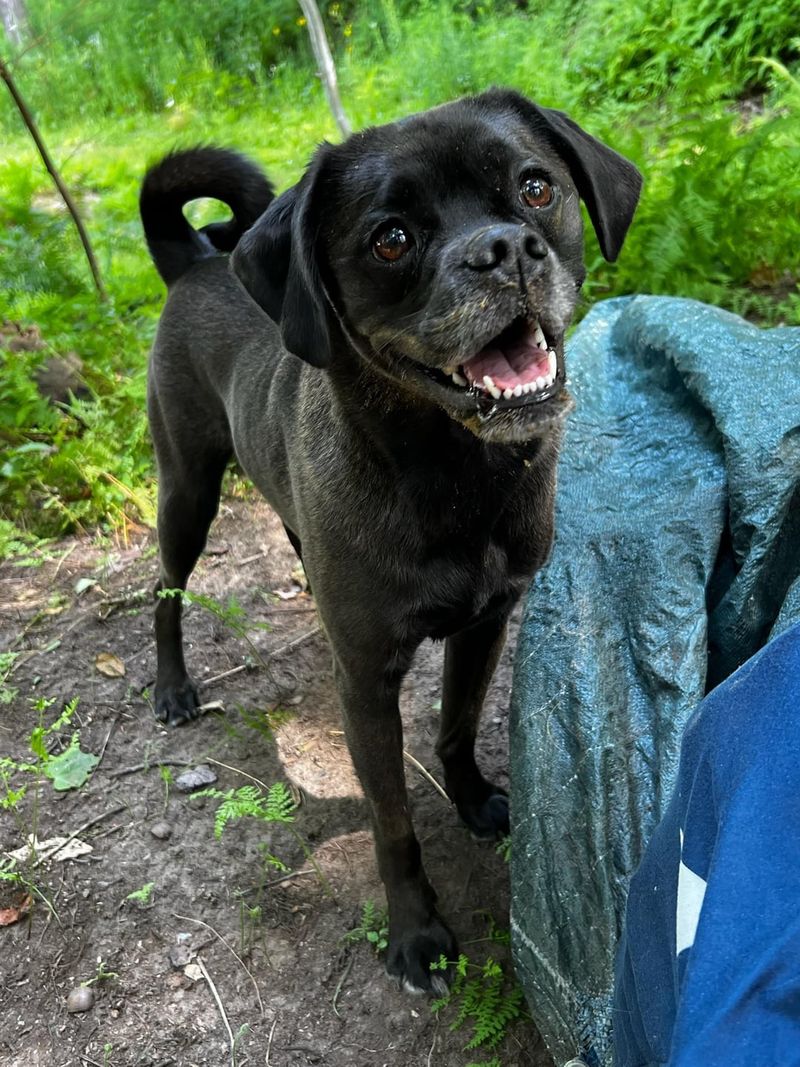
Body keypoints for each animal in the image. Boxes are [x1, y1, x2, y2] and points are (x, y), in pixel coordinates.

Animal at [140, 89, 644, 990]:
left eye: (536, 186)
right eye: (392, 239)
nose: (504, 250)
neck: (453, 475)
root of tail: (194, 259)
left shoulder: (486, 623)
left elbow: (456, 724)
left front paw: (473, 797)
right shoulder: (368, 687)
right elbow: (393, 823)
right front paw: (416, 931)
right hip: (187, 493)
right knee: (164, 591)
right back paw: (172, 688)